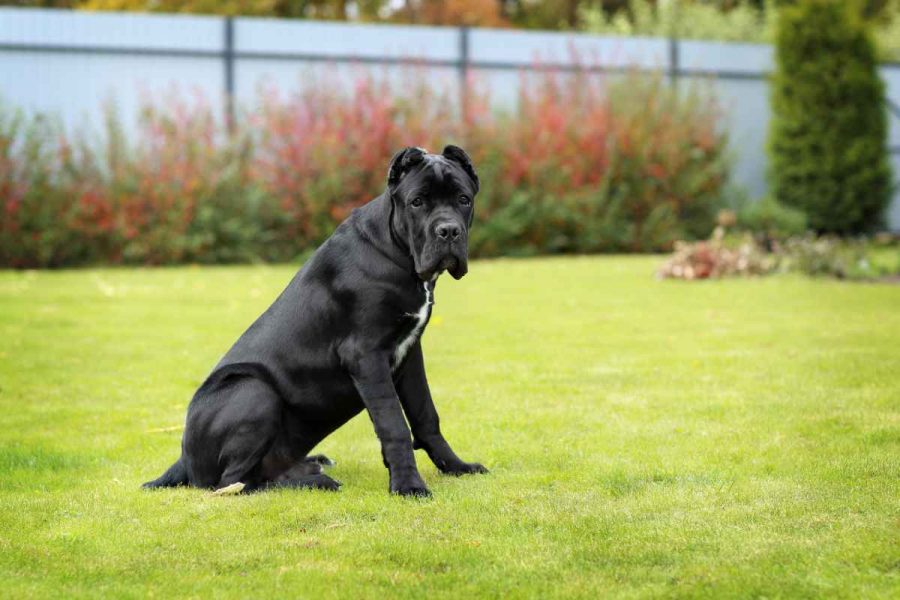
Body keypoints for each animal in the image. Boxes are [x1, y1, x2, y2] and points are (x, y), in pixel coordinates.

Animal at [142, 146, 486, 496]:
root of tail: (184, 459)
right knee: (234, 482)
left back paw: (311, 469)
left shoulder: (409, 352)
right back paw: (316, 481)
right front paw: (408, 485)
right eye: (417, 201)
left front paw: (455, 466)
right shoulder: (366, 354)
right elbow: (394, 424)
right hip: (254, 390)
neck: (396, 251)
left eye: (463, 199)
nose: (448, 231)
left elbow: (425, 415)